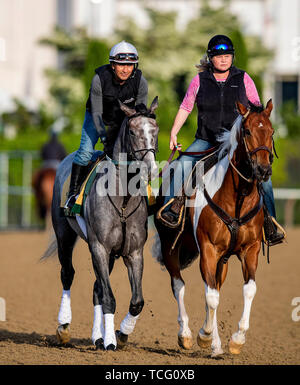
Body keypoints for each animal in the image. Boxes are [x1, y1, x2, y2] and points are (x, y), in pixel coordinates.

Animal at [42, 97, 159, 350]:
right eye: (133, 131)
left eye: (155, 130)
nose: (151, 169)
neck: (123, 199)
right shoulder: (99, 247)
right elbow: (109, 297)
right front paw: (111, 341)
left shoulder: (133, 252)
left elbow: (136, 301)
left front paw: (120, 334)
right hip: (65, 236)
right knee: (68, 274)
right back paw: (64, 326)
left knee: (96, 288)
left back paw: (97, 336)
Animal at [155, 100, 274, 356]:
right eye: (247, 131)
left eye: (271, 132)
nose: (263, 170)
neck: (237, 199)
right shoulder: (208, 249)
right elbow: (210, 297)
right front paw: (203, 336)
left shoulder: (250, 249)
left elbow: (247, 290)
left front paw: (236, 340)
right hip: (170, 247)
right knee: (179, 286)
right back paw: (186, 335)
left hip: (223, 260)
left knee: (214, 290)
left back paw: (216, 345)